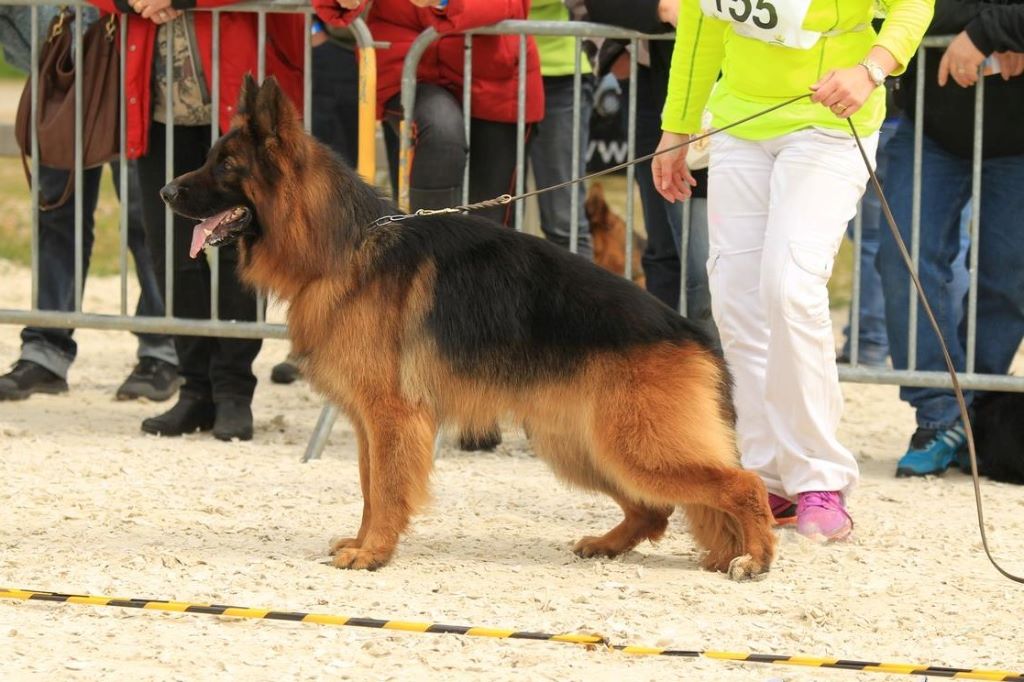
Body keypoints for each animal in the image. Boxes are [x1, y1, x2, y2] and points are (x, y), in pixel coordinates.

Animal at [160, 75, 775, 579]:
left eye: (225, 165)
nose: (166, 192)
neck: (343, 246)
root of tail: (693, 333)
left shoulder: (391, 418)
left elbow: (386, 489)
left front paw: (374, 553)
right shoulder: (368, 425)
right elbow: (368, 487)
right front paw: (363, 543)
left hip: (631, 447)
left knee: (742, 484)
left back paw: (756, 556)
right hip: (579, 445)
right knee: (654, 508)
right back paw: (611, 544)